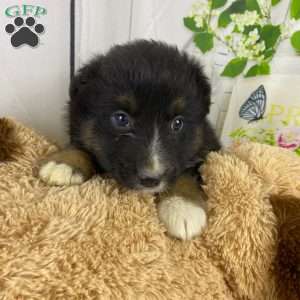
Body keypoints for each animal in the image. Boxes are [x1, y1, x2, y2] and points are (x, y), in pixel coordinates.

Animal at [38, 39, 220, 240]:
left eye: (177, 123)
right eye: (121, 119)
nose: (151, 180)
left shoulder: (206, 145)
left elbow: (186, 173)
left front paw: (183, 207)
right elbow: (82, 145)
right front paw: (64, 163)